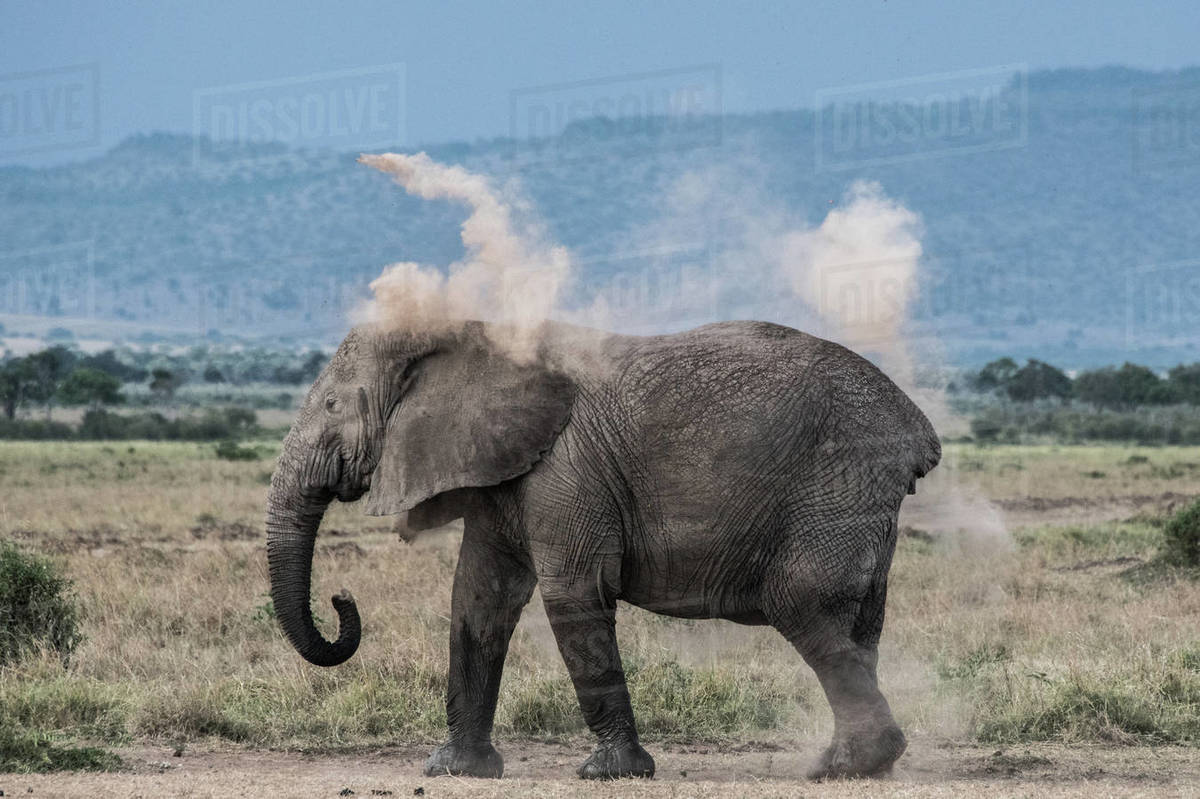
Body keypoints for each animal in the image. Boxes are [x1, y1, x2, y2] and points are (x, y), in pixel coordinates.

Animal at [265, 318, 940, 781]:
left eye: (332, 405)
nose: (342, 598)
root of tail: (920, 430)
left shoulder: (566, 470)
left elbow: (573, 596)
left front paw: (610, 773)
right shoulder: (503, 472)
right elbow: (479, 602)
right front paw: (455, 770)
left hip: (837, 486)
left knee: (801, 605)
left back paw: (844, 768)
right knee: (859, 624)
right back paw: (853, 763)